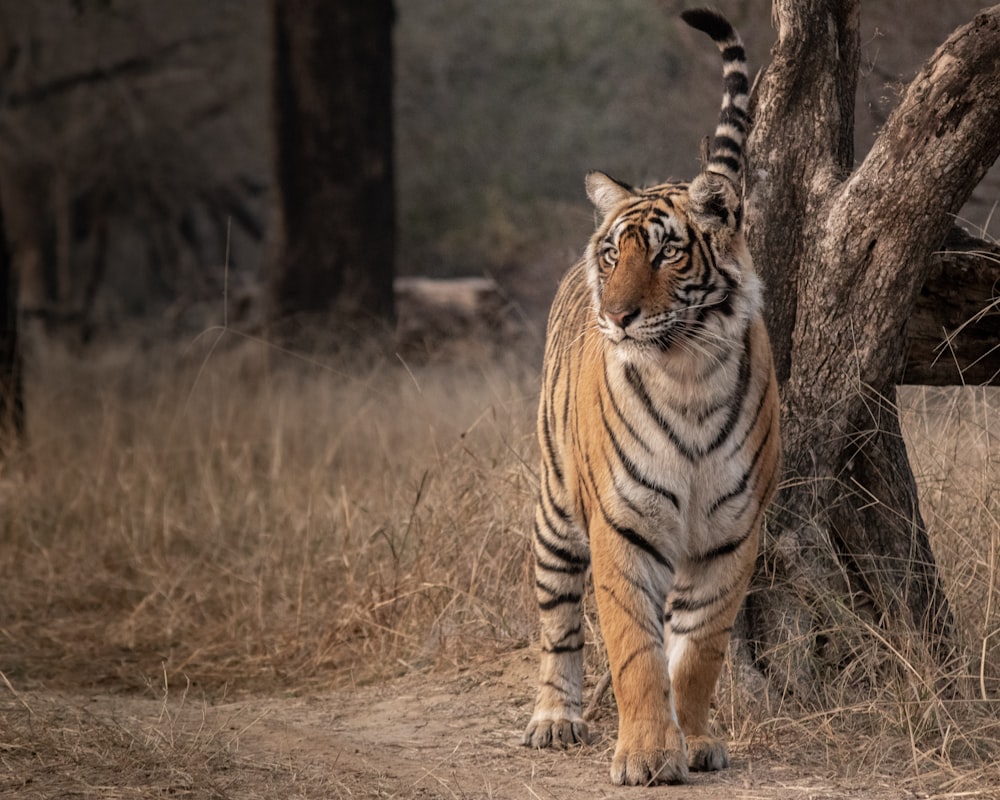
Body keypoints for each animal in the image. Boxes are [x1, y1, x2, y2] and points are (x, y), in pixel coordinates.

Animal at [524, 6, 780, 788]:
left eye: (668, 251)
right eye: (614, 252)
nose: (617, 314)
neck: (687, 372)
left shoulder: (730, 532)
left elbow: (696, 652)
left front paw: (691, 741)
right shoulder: (623, 525)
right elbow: (634, 648)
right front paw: (643, 755)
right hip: (555, 508)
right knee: (557, 623)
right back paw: (554, 719)